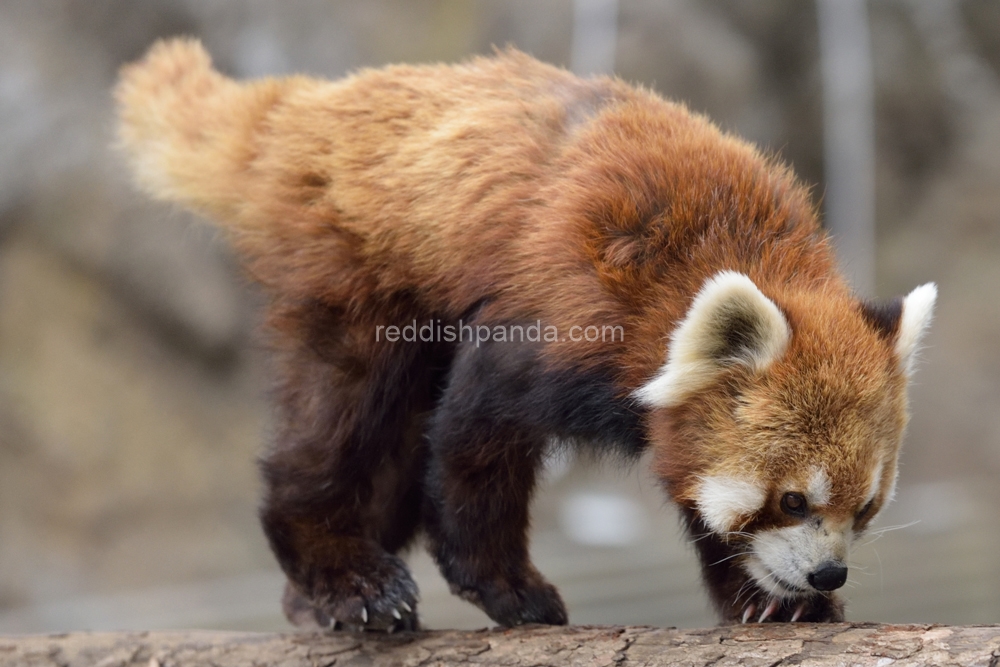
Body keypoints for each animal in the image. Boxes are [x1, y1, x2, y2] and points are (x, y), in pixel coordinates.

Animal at [117, 39, 936, 636]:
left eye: (866, 507)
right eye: (794, 500)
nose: (829, 571)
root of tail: (310, 105)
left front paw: (772, 596)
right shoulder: (559, 309)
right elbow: (474, 441)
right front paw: (507, 587)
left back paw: (311, 596)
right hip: (352, 259)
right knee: (341, 409)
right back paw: (348, 577)